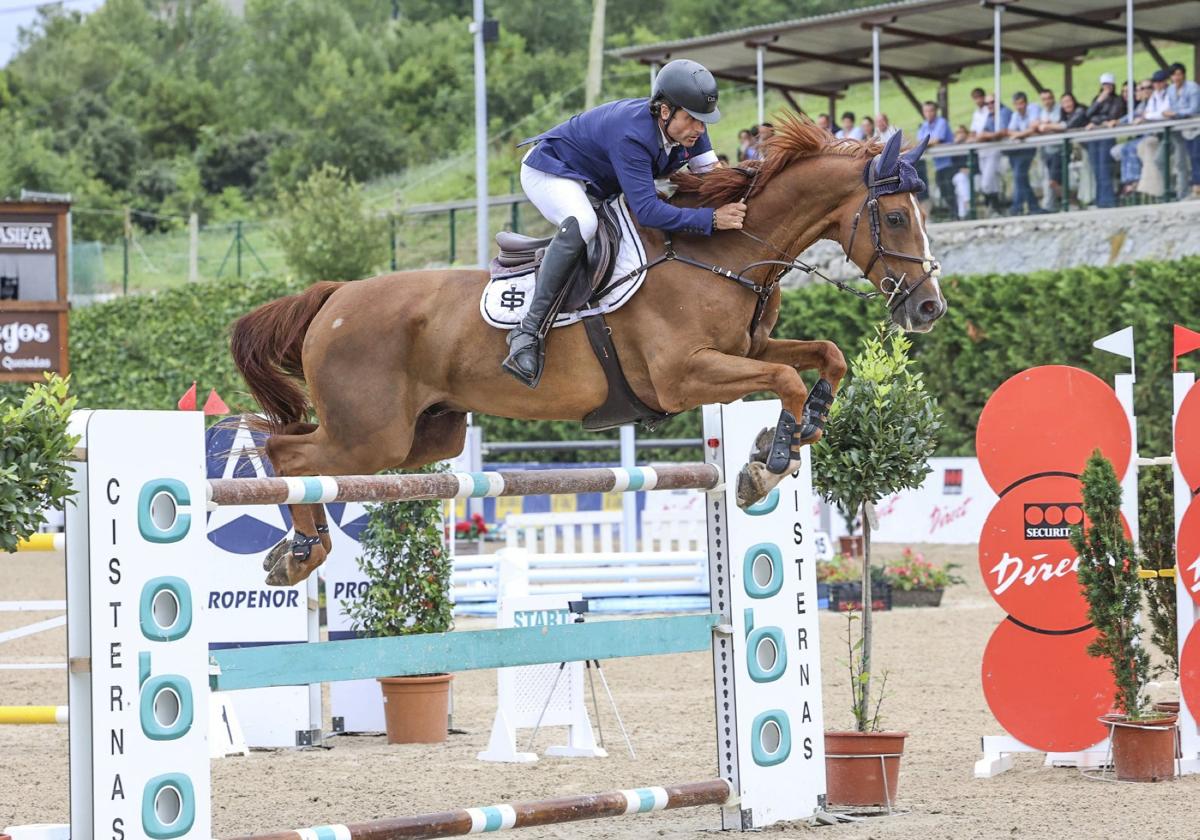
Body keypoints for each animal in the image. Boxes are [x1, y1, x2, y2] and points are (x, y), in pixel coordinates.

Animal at [231, 118, 945, 583]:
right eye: (897, 217)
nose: (929, 308)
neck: (723, 254)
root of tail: (335, 297)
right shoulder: (683, 376)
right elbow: (784, 379)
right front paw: (767, 465)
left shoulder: (752, 346)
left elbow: (824, 355)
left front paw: (802, 430)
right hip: (369, 436)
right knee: (287, 453)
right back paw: (302, 551)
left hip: (420, 438)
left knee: (299, 445)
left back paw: (295, 551)